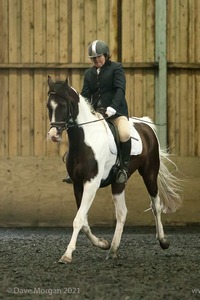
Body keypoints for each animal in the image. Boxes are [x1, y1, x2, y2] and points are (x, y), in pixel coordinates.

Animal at [46, 76, 182, 264]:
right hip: (118, 183)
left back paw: (163, 241)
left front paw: (67, 255)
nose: (53, 135)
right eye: (48, 106)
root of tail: (146, 126)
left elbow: (78, 219)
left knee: (156, 205)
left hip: (149, 173)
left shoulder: (91, 183)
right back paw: (113, 249)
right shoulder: (78, 184)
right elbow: (84, 222)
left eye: (64, 105)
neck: (85, 141)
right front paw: (103, 243)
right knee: (122, 213)